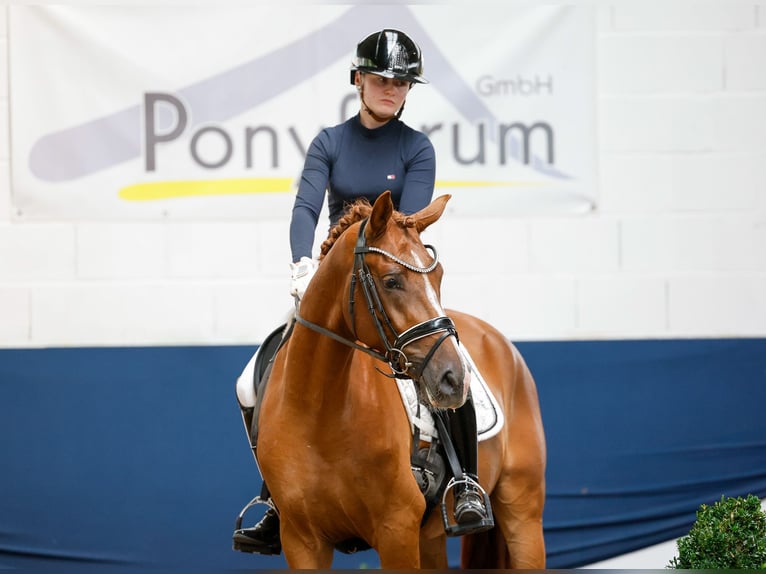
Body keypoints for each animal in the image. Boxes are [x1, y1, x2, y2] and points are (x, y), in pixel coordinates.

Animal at [258, 191, 544, 568]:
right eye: (392, 281)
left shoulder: (396, 530)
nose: (454, 378)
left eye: (439, 277)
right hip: (432, 539)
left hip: (523, 514)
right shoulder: (301, 541)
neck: (317, 409)